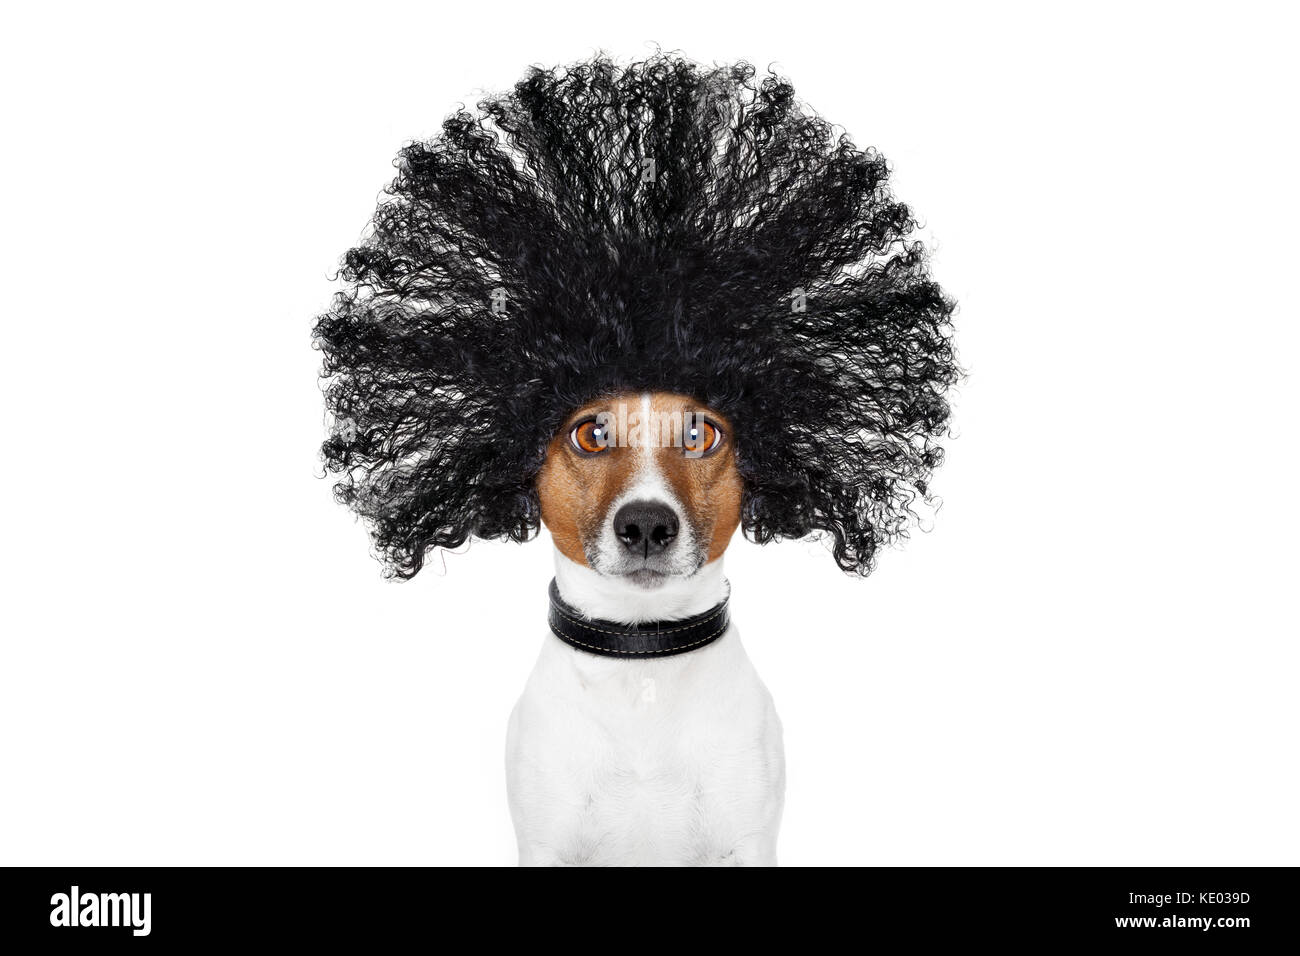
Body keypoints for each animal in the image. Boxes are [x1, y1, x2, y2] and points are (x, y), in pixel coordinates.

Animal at [314, 52, 956, 868]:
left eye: (701, 435)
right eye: (590, 434)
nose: (647, 525)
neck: (642, 662)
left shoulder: (748, 842)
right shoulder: (546, 844)